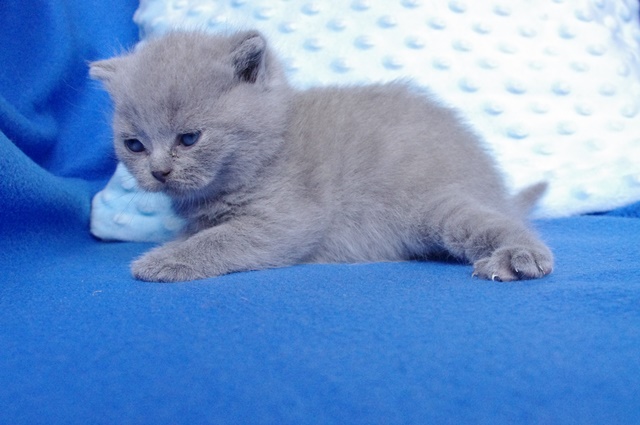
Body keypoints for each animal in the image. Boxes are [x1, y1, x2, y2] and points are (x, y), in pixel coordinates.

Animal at [90, 30, 554, 283]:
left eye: (188, 138)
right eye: (134, 145)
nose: (159, 171)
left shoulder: (289, 218)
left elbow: (222, 238)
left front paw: (162, 260)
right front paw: (174, 244)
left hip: (435, 202)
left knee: (500, 223)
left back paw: (519, 258)